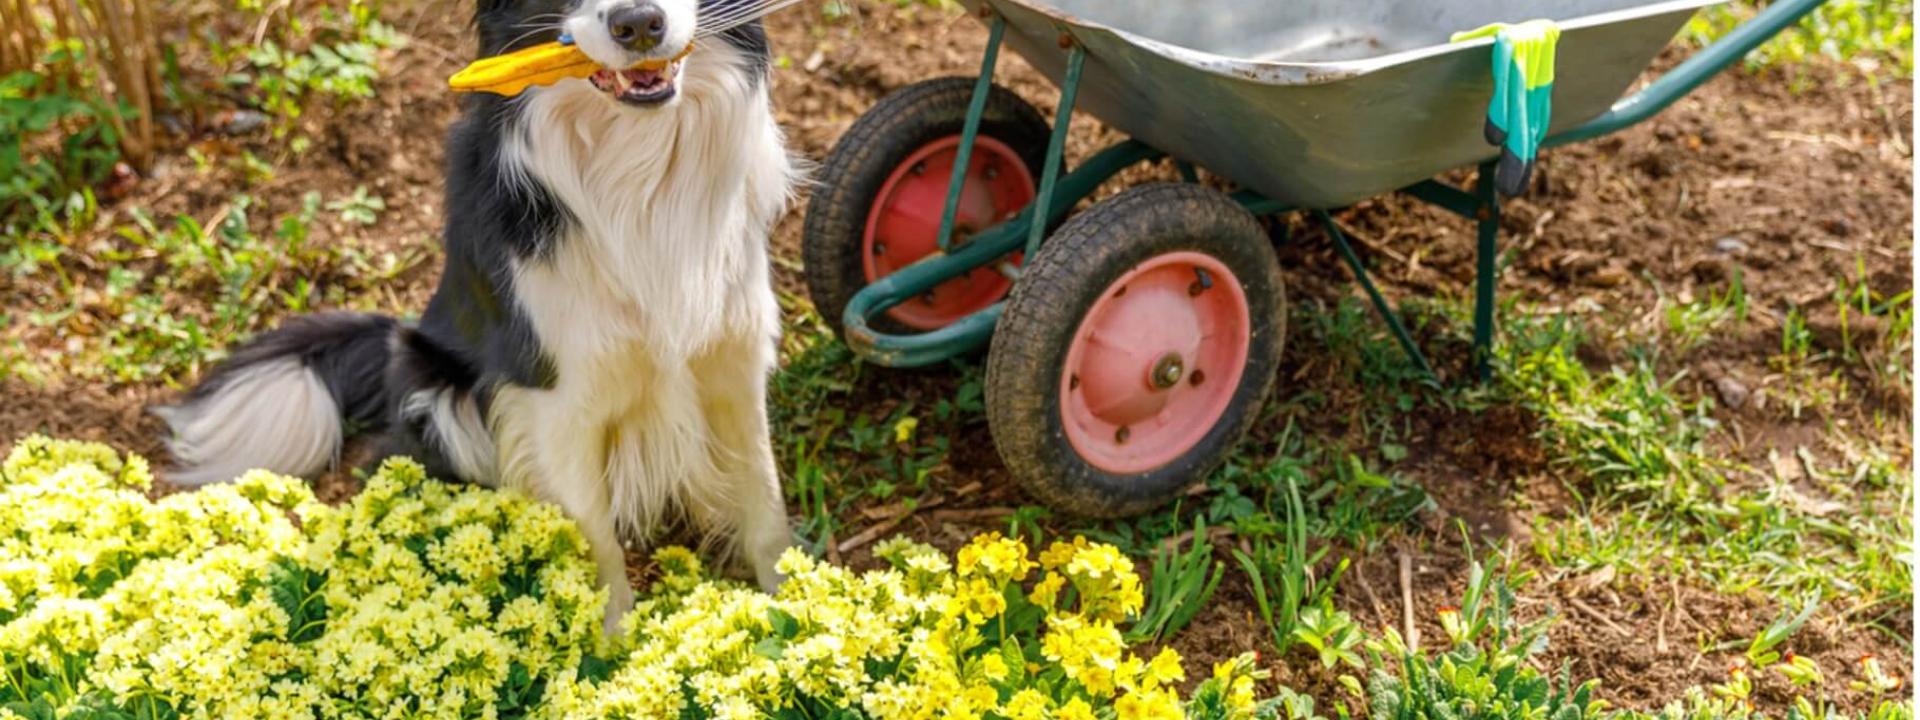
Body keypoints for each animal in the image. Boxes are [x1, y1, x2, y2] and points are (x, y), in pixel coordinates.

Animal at [153, 0, 802, 629]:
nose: (639, 24)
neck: (639, 168)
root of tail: (396, 337)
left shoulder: (733, 357)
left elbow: (764, 497)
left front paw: (795, 606)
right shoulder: (557, 396)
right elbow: (595, 542)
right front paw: (610, 648)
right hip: (442, 398)